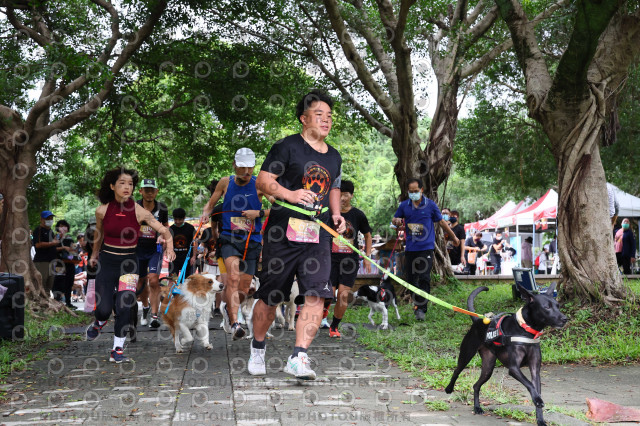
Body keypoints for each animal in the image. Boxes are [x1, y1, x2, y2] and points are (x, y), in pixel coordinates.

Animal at [442, 282, 568, 426]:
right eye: (547, 307)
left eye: (558, 306)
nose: (565, 319)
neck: (525, 329)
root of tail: (477, 321)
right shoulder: (513, 368)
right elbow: (529, 384)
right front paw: (538, 400)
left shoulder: (535, 370)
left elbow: (535, 389)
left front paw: (540, 419)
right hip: (466, 354)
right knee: (457, 370)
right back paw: (449, 389)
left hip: (488, 367)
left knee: (476, 385)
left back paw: (477, 407)